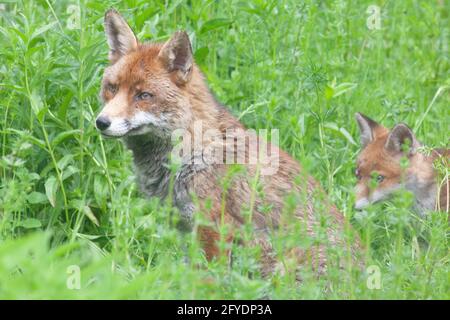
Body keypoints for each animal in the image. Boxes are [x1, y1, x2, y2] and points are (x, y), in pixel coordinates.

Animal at [95, 8, 358, 276]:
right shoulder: (185, 228)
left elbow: (207, 277)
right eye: (112, 88)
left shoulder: (214, 228)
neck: (192, 150)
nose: (101, 122)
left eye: (143, 95)